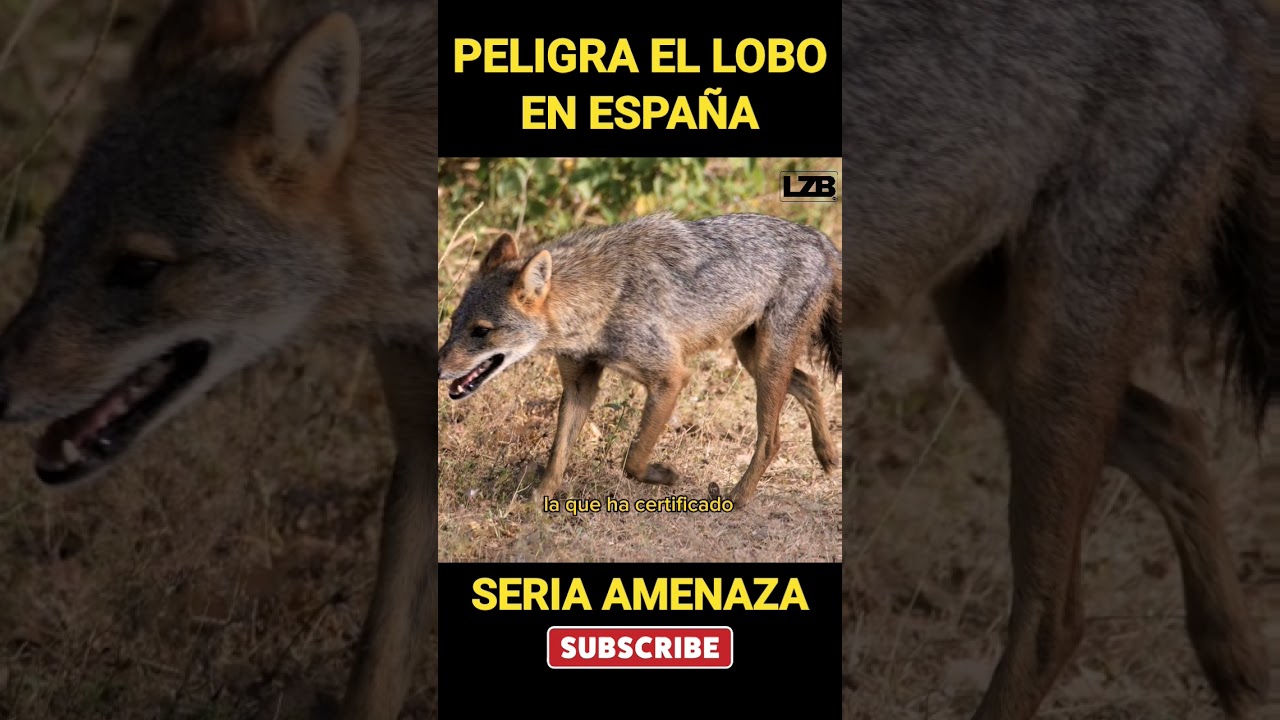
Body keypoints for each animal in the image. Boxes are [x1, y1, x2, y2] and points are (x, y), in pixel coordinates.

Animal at [437, 212, 842, 504]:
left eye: (481, 331)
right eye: (454, 324)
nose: (438, 369)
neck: (602, 299)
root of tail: (819, 237)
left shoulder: (671, 377)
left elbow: (632, 459)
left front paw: (666, 476)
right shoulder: (580, 384)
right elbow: (557, 457)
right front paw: (534, 504)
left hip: (766, 364)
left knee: (772, 439)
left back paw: (738, 499)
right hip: (753, 359)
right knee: (810, 381)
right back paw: (827, 455)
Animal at [842, 0, 1275, 718]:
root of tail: (1223, 16)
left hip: (1046, 362)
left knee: (1057, 620)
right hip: (999, 355)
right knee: (1178, 431)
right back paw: (1239, 673)